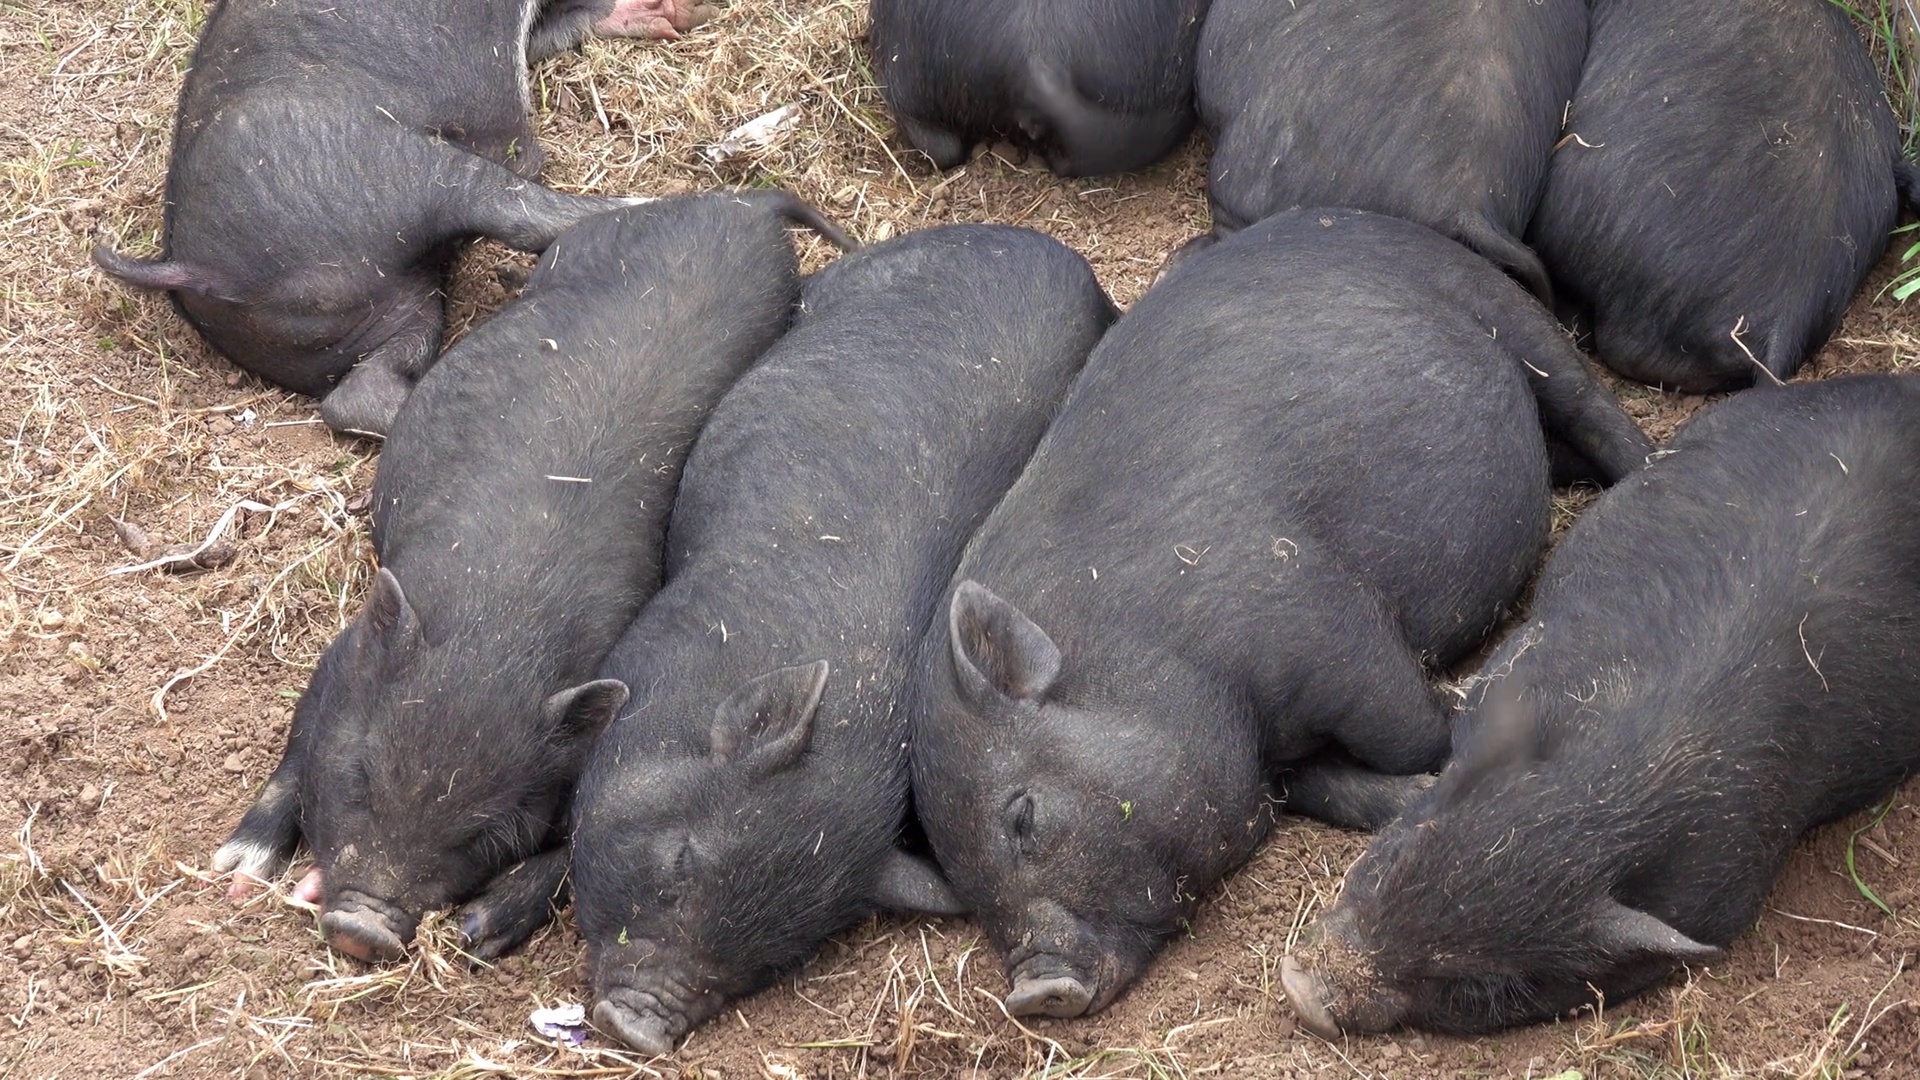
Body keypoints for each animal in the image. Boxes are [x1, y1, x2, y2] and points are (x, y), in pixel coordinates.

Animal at [90, 0, 690, 439]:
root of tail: (191, 266)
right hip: (399, 172)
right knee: (520, 211)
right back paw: (658, 203)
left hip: (391, 307)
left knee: (358, 396)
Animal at [211, 193, 851, 963]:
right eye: (363, 776)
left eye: (486, 833)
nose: (362, 929)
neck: (500, 623)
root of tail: (746, 202)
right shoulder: (342, 658)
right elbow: (297, 746)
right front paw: (236, 868)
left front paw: (480, 931)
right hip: (590, 243)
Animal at [906, 208, 1654, 1021]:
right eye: (963, 884)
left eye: (1022, 816)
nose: (1032, 991)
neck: (1158, 650)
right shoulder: (1281, 757)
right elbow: (1337, 787)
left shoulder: (1327, 626)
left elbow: (1410, 728)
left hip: (1497, 306)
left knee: (1589, 402)